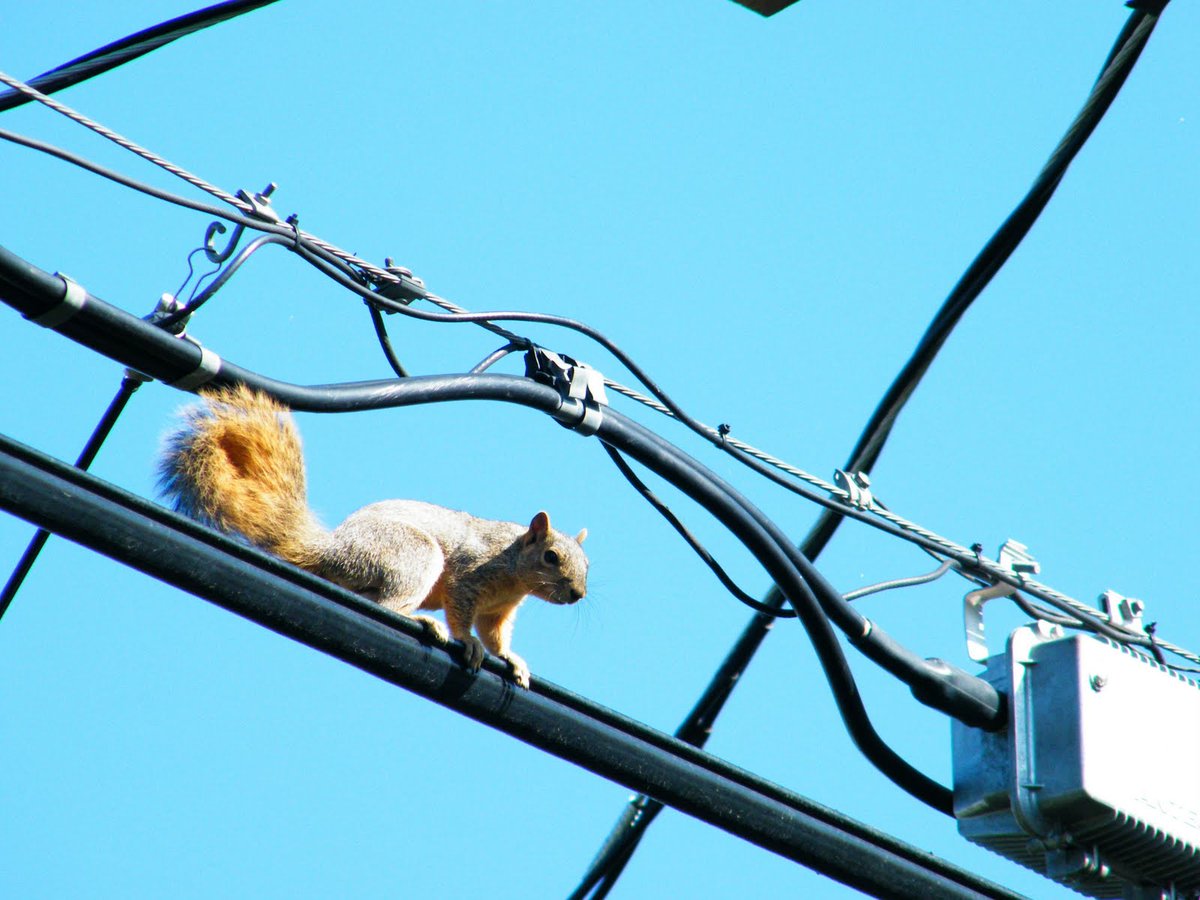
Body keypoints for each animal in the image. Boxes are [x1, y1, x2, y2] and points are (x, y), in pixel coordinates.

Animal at [157, 384, 589, 689]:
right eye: (551, 556)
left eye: (587, 564)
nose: (578, 594)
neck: (514, 572)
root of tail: (333, 550)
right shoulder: (472, 573)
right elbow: (462, 612)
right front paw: (467, 642)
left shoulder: (498, 611)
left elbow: (497, 637)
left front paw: (512, 659)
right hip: (410, 554)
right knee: (389, 604)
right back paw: (419, 619)